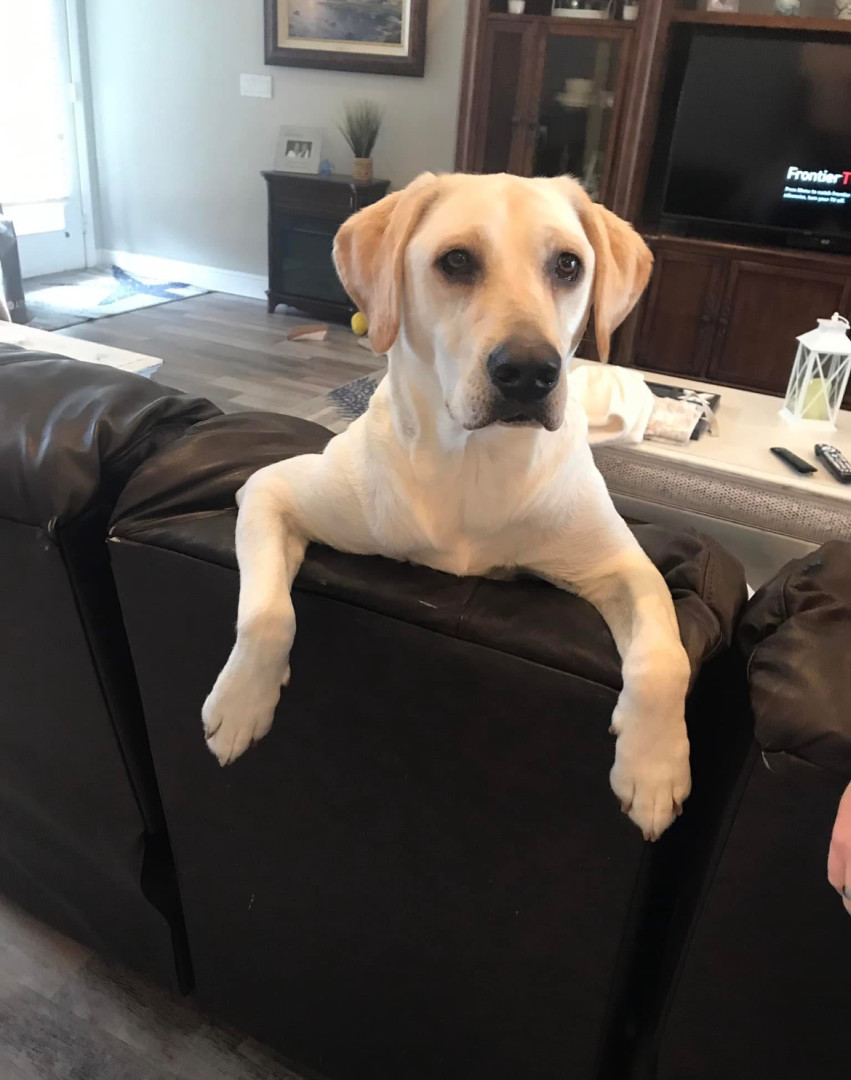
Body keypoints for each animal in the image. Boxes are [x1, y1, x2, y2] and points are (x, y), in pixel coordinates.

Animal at [202, 172, 691, 841]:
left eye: (568, 264)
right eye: (456, 261)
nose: (530, 373)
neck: (471, 461)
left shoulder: (624, 566)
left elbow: (668, 657)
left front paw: (654, 765)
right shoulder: (268, 489)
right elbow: (267, 613)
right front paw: (241, 701)